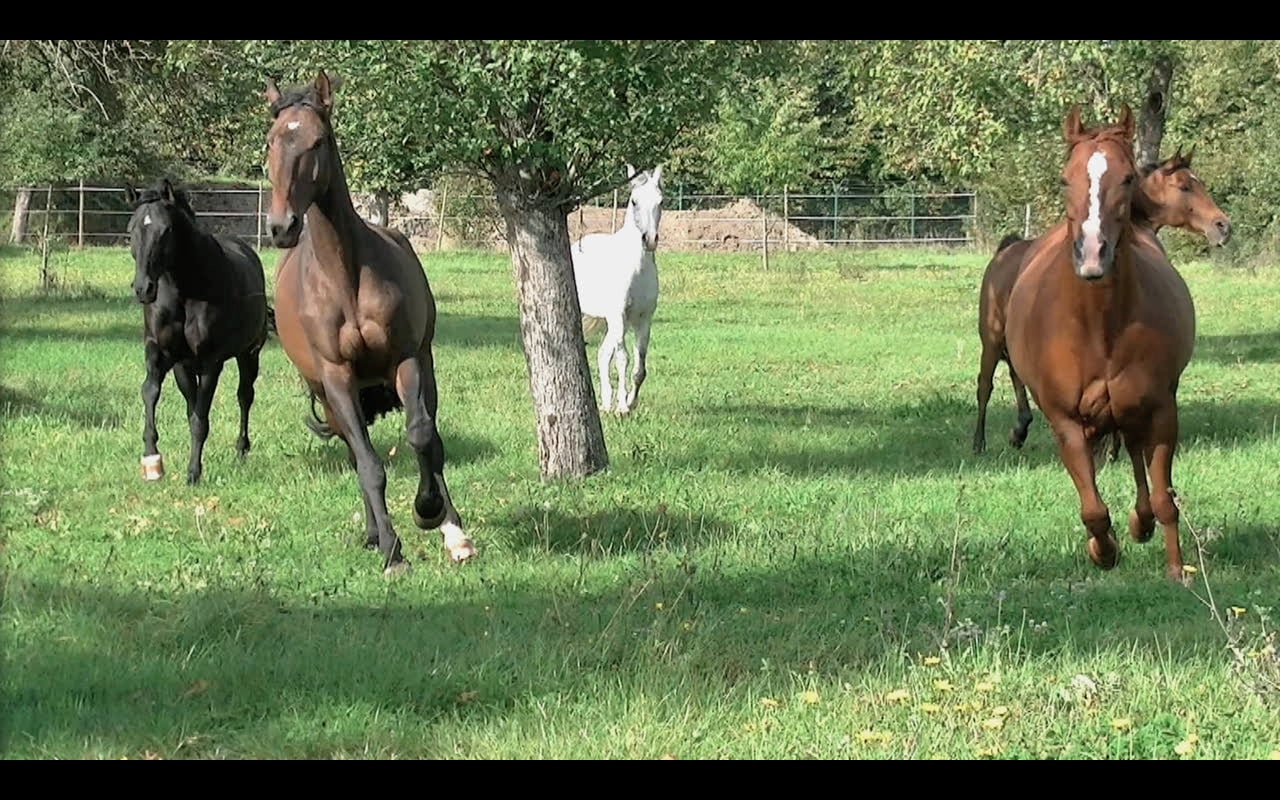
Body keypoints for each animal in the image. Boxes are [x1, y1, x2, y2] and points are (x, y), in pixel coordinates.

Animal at [125, 177, 272, 483]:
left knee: (245, 396)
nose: (144, 289)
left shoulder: (210, 363)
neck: (184, 292)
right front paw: (151, 458)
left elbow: (199, 418)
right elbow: (152, 392)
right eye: (131, 230)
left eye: (165, 230)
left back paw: (241, 449)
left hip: (249, 354)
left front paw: (193, 472)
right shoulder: (167, 356)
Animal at [262, 71, 478, 573]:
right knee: (354, 452)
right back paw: (375, 533)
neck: (346, 277)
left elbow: (422, 438)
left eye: (317, 140)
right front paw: (392, 550)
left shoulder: (406, 361)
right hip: (330, 397)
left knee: (432, 441)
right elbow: (369, 464)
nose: (282, 227)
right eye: (271, 140)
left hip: (425, 369)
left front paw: (429, 514)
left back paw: (450, 529)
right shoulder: (337, 378)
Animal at [576, 160, 665, 414]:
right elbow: (623, 359)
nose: (650, 239)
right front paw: (623, 407)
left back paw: (606, 402)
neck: (637, 269)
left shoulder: (643, 319)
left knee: (603, 353)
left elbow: (639, 366)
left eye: (661, 201)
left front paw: (630, 401)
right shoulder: (618, 315)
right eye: (634, 201)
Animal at [967, 145, 1228, 453]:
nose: (1223, 225)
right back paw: (980, 443)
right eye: (1185, 186)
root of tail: (1004, 253)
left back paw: (1020, 429)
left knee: (1015, 375)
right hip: (992, 339)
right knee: (985, 385)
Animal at [1003, 106, 1192, 581]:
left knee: (1139, 462)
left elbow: (1164, 496)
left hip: (1134, 410)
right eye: (1064, 179)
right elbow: (1092, 508)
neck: (1098, 328)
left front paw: (1176, 568)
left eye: (1127, 178)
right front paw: (1103, 551)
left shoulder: (1161, 409)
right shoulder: (1066, 421)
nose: (1092, 254)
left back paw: (1141, 524)